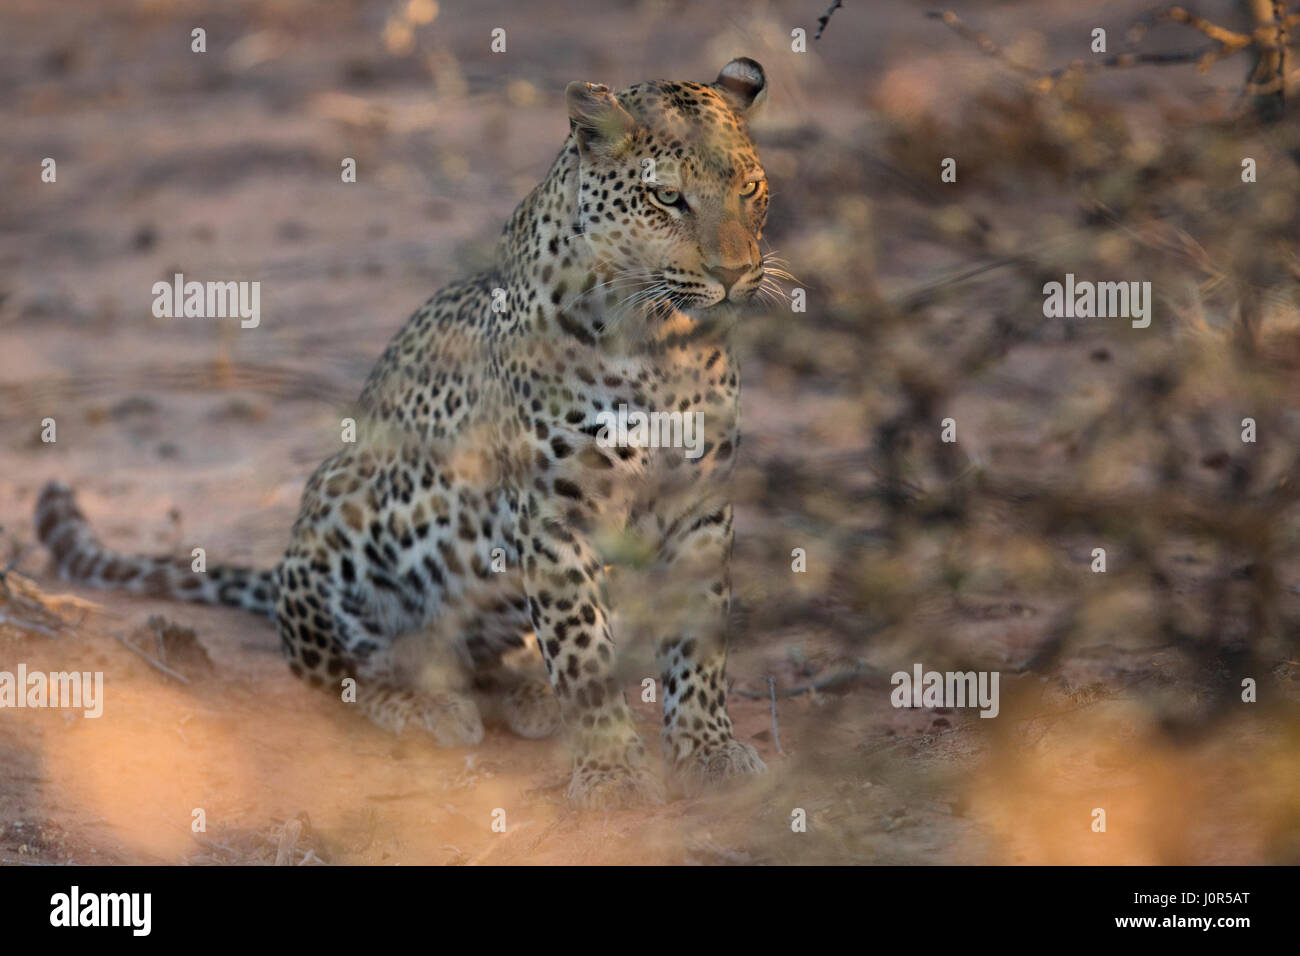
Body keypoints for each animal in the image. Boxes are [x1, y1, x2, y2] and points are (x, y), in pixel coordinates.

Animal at [35, 57, 774, 806]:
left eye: (750, 189)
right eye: (668, 198)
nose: (737, 274)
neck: (663, 341)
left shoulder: (701, 505)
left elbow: (698, 642)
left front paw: (708, 749)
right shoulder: (552, 515)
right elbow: (580, 647)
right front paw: (612, 770)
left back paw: (526, 693)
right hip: (342, 512)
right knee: (341, 674)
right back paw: (425, 705)